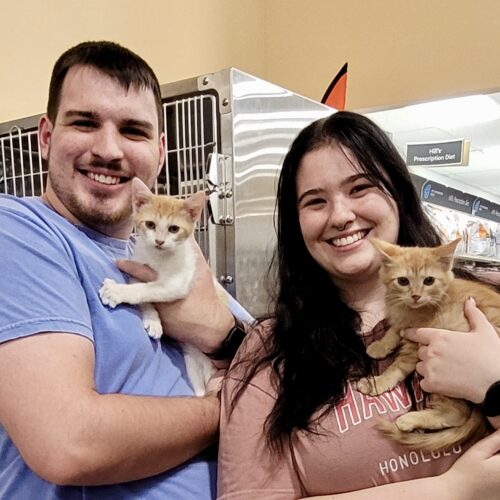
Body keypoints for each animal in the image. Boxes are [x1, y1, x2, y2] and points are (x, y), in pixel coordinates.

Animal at [99, 177, 216, 396]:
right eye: (150, 224)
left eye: (174, 229)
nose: (159, 241)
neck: (158, 258)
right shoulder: (137, 269)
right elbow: (144, 292)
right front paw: (152, 320)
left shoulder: (177, 282)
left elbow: (146, 290)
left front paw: (116, 291)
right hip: (192, 362)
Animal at [356, 237, 500, 451]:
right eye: (403, 281)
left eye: (429, 281)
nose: (415, 295)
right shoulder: (403, 322)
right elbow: (394, 330)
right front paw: (380, 345)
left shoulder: (416, 344)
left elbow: (397, 368)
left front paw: (378, 382)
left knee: (458, 413)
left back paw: (409, 419)